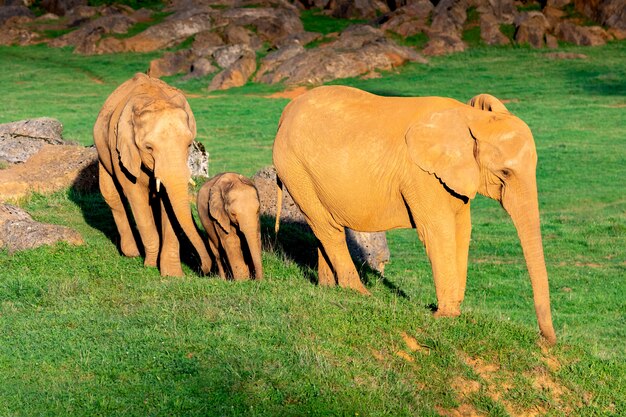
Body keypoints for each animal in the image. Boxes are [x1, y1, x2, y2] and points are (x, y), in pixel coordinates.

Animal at [91, 72, 211, 276]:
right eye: (148, 148)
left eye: (189, 144)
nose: (203, 268)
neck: (154, 99)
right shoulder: (122, 151)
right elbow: (135, 195)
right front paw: (150, 266)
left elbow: (168, 204)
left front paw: (172, 274)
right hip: (103, 153)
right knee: (113, 197)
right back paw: (131, 253)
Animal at [272, 85, 556, 344]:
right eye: (505, 172)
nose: (544, 340)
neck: (468, 118)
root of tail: (285, 113)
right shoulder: (420, 175)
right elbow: (438, 230)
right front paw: (447, 316)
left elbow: (462, 229)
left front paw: (454, 310)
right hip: (294, 168)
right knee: (327, 228)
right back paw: (360, 294)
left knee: (323, 226)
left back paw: (329, 288)